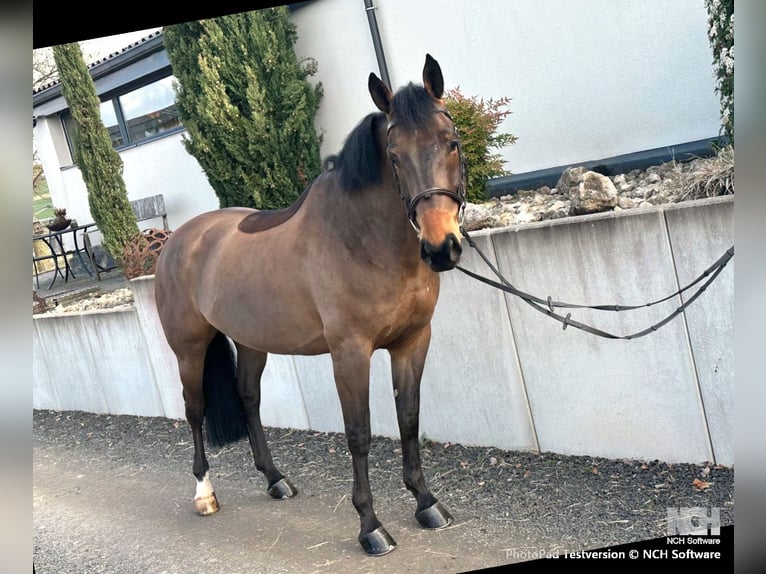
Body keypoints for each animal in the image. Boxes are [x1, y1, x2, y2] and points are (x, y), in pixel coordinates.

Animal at [154, 54, 466, 556]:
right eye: (395, 158)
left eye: (451, 143)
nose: (441, 248)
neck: (363, 237)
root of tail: (176, 241)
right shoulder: (350, 353)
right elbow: (359, 434)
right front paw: (371, 526)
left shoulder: (413, 341)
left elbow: (409, 419)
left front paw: (426, 502)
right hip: (189, 349)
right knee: (195, 410)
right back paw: (204, 493)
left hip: (252, 341)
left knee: (248, 397)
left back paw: (275, 479)